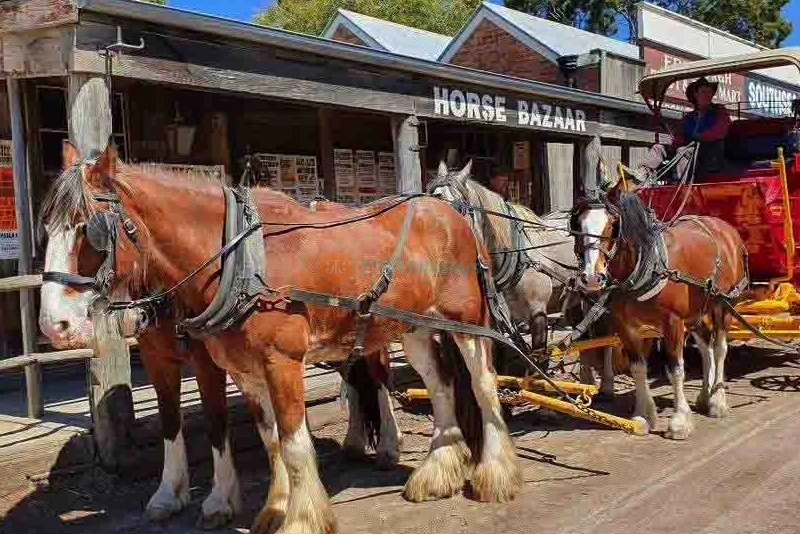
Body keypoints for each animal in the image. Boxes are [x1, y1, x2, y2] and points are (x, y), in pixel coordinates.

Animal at [40, 143, 520, 534]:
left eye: (89, 228)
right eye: (46, 226)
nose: (53, 326)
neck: (239, 261)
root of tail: (446, 212)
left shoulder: (280, 361)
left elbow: (292, 441)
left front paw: (301, 518)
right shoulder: (243, 369)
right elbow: (271, 439)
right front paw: (275, 508)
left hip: (466, 322)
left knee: (482, 385)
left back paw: (494, 475)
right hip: (413, 326)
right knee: (440, 385)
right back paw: (437, 471)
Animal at [572, 182, 748, 442]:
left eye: (613, 224)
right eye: (578, 226)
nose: (592, 278)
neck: (646, 266)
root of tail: (726, 229)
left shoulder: (673, 323)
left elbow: (676, 369)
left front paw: (680, 421)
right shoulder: (625, 325)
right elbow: (638, 367)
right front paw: (642, 415)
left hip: (723, 305)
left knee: (719, 349)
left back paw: (717, 401)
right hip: (696, 312)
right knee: (705, 346)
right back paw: (705, 396)